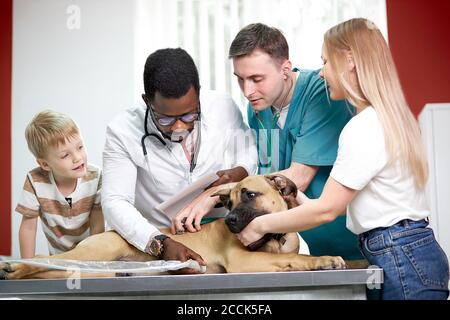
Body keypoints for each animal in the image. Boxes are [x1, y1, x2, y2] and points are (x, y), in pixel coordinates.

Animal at [0, 174, 346, 278]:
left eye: (249, 194)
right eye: (229, 204)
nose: (230, 221)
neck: (273, 237)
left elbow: (293, 257)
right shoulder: (244, 260)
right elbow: (296, 259)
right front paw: (324, 260)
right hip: (96, 252)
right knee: (44, 260)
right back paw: (14, 268)